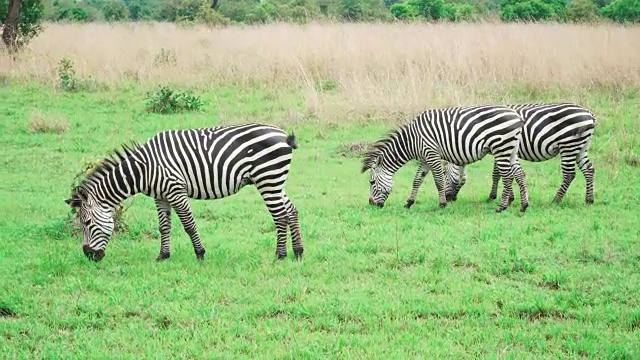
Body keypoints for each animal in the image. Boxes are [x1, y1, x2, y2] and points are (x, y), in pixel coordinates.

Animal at [63, 124, 304, 262]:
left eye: (86, 223)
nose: (89, 256)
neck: (144, 169)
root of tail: (283, 134)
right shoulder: (160, 196)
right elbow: (164, 226)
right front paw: (163, 255)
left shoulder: (176, 190)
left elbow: (188, 224)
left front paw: (200, 254)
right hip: (275, 181)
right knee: (291, 210)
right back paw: (298, 252)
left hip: (268, 179)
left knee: (279, 215)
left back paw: (280, 255)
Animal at [360, 104, 528, 212]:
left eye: (371, 182)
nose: (371, 205)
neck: (412, 141)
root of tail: (517, 115)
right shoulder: (424, 159)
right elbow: (417, 180)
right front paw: (409, 202)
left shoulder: (431, 154)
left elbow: (439, 181)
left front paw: (442, 204)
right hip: (511, 150)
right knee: (519, 174)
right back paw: (524, 205)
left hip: (501, 148)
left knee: (508, 177)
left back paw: (502, 206)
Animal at [404, 102, 596, 207]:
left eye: (444, 173)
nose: (451, 198)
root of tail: (589, 113)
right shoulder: (502, 149)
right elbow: (504, 174)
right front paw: (509, 197)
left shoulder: (501, 147)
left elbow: (498, 174)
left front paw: (496, 197)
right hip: (581, 147)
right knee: (589, 170)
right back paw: (589, 199)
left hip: (568, 146)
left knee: (569, 174)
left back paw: (556, 200)